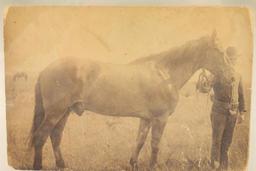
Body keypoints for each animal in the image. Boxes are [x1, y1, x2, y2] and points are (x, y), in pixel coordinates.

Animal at [29, 31, 231, 170]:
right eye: (220, 51)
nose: (231, 77)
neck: (165, 73)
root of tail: (45, 69)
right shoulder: (160, 118)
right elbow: (155, 144)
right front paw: (153, 166)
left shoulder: (146, 119)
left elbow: (140, 141)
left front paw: (133, 163)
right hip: (56, 112)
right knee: (41, 137)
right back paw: (38, 166)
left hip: (65, 112)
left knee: (55, 136)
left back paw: (62, 164)